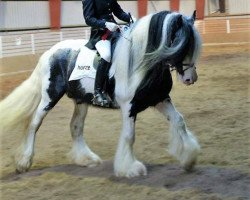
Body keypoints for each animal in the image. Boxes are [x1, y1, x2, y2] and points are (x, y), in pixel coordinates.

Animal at [0, 10, 201, 178]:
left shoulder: (160, 99)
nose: (191, 79)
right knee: (34, 123)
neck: (141, 63)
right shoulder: (129, 106)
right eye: (181, 44)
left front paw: (189, 158)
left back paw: (86, 159)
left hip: (80, 99)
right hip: (50, 96)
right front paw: (130, 168)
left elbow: (179, 121)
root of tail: (49, 53)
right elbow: (129, 136)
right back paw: (24, 162)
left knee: (75, 126)